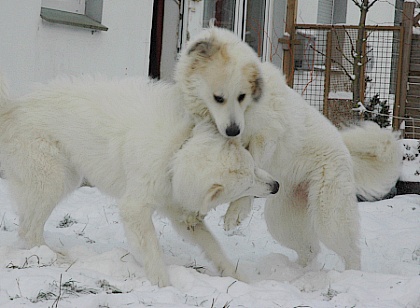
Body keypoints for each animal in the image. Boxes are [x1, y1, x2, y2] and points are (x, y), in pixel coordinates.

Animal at [0, 74, 278, 286]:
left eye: (254, 168)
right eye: (246, 183)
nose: (276, 186)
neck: (176, 151)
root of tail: (13, 107)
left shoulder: (179, 211)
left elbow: (214, 246)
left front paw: (237, 277)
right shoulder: (134, 208)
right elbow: (152, 248)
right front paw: (163, 285)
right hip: (54, 180)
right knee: (29, 232)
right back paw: (56, 257)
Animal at [174, 27, 400, 270]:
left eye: (242, 96)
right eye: (219, 98)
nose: (233, 131)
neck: (248, 110)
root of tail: (344, 149)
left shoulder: (266, 137)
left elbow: (251, 168)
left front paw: (235, 212)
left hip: (328, 218)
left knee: (351, 252)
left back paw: (349, 275)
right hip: (281, 220)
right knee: (310, 250)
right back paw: (296, 272)